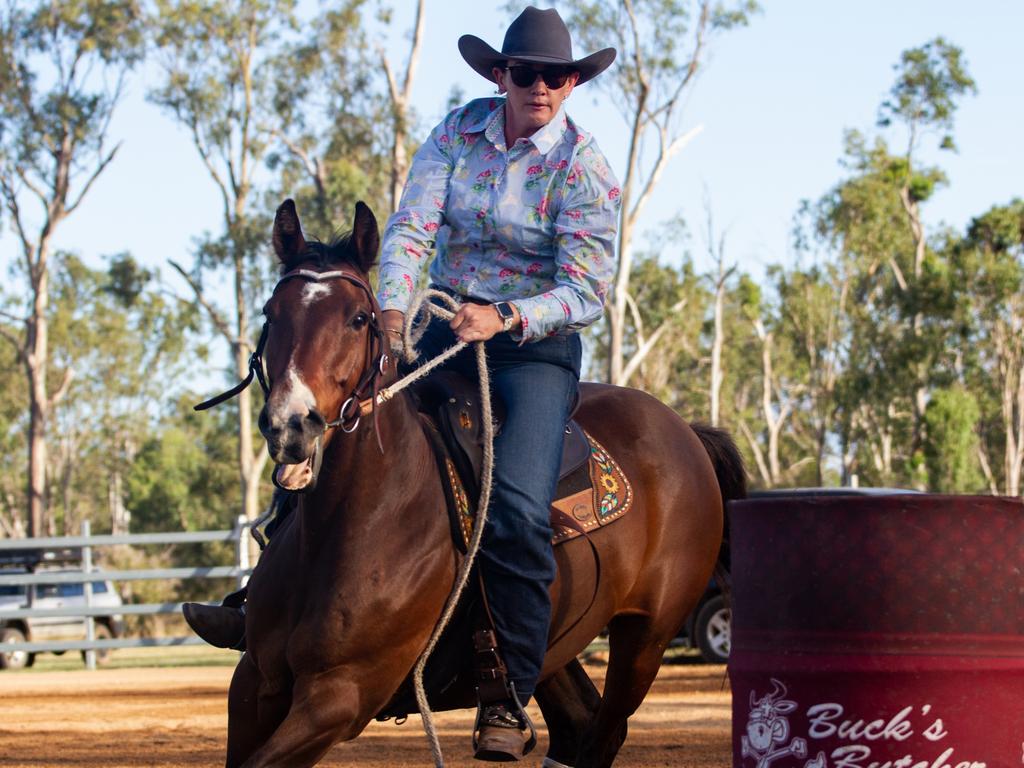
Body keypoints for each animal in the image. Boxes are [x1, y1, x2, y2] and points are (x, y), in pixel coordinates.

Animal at [226, 199, 745, 768]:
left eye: (358, 319)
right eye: (271, 314)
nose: (291, 425)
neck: (356, 520)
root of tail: (686, 433)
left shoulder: (340, 697)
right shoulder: (253, 685)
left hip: (645, 638)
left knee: (603, 732)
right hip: (556, 643)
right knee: (575, 721)